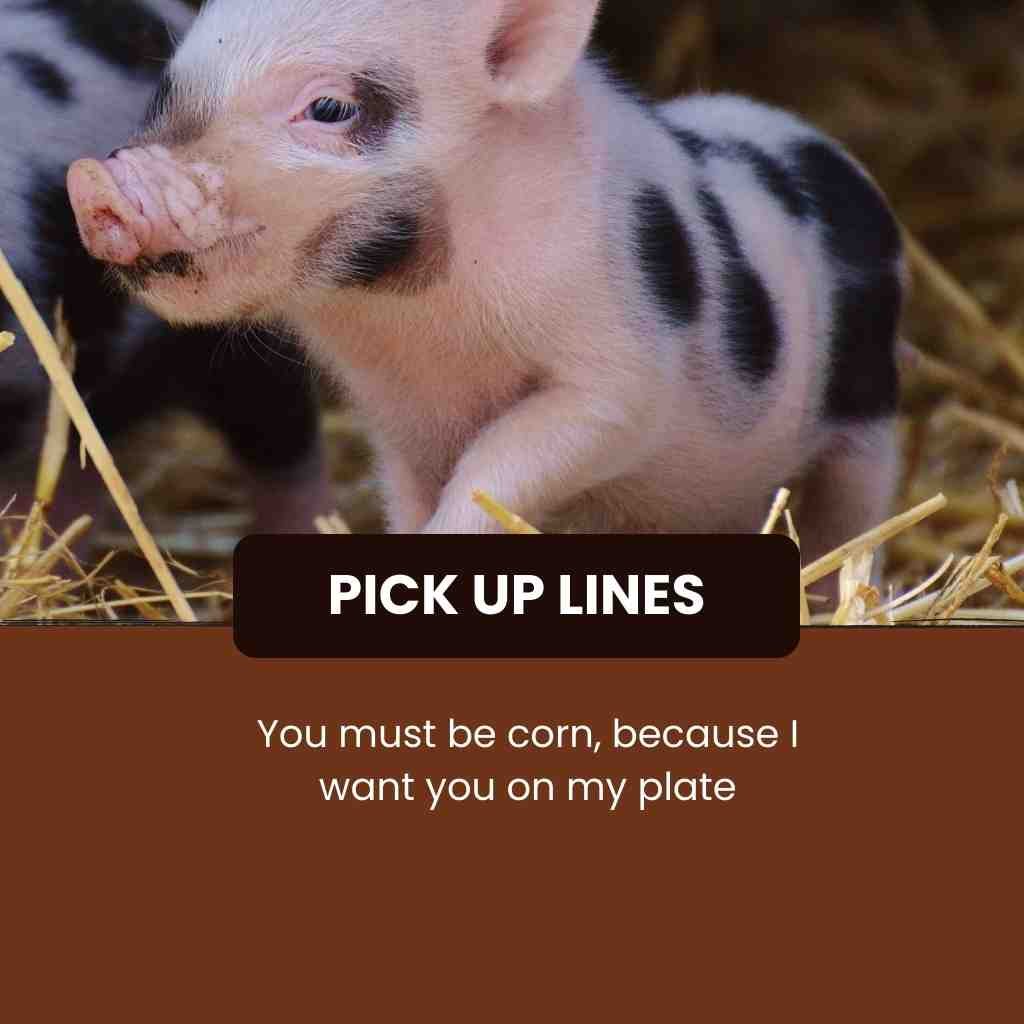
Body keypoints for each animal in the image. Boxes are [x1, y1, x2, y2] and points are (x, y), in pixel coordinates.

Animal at [66, 0, 904, 565]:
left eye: (330, 106)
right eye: (169, 88)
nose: (100, 186)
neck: (417, 326)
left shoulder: (617, 375)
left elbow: (501, 463)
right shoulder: (394, 421)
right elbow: (411, 495)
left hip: (867, 414)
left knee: (852, 524)